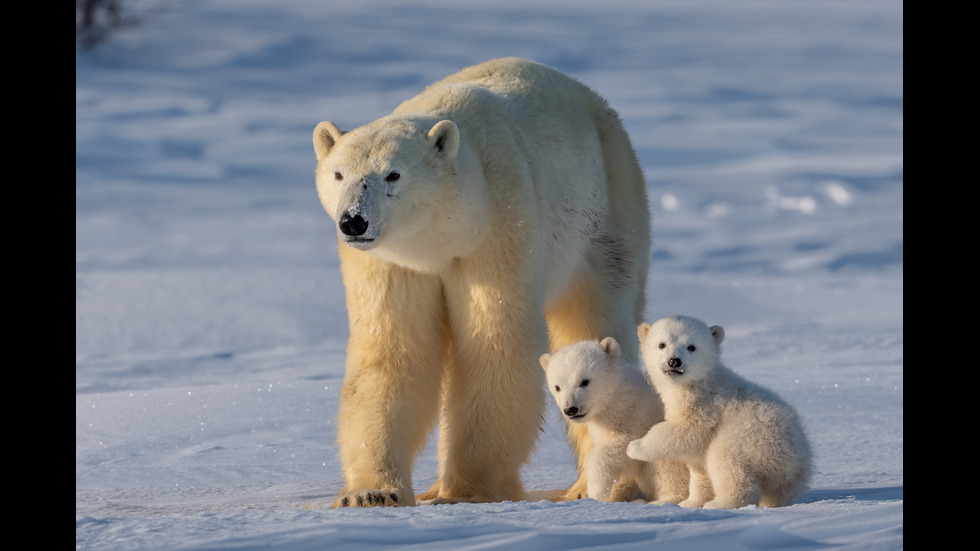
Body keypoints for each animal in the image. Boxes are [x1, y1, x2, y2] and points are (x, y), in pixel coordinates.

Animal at [314, 57, 652, 508]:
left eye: (393, 174)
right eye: (338, 174)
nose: (353, 221)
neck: (444, 237)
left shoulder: (499, 227)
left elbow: (495, 345)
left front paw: (467, 492)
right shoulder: (392, 263)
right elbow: (392, 351)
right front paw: (372, 493)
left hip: (606, 213)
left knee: (595, 316)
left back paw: (593, 486)